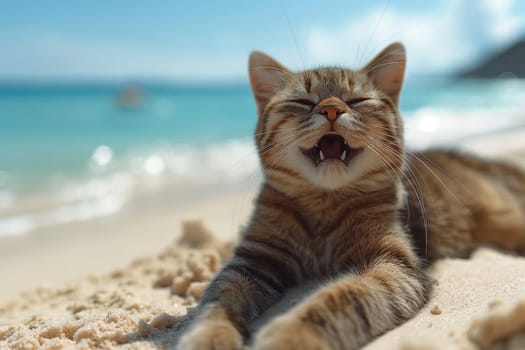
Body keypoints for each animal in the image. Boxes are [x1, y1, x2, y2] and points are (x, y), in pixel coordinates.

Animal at [176, 42, 524, 348]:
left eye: (356, 100)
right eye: (303, 101)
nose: (331, 108)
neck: (323, 204)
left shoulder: (391, 265)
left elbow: (338, 299)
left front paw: (291, 334)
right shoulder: (251, 261)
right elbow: (217, 301)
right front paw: (208, 336)